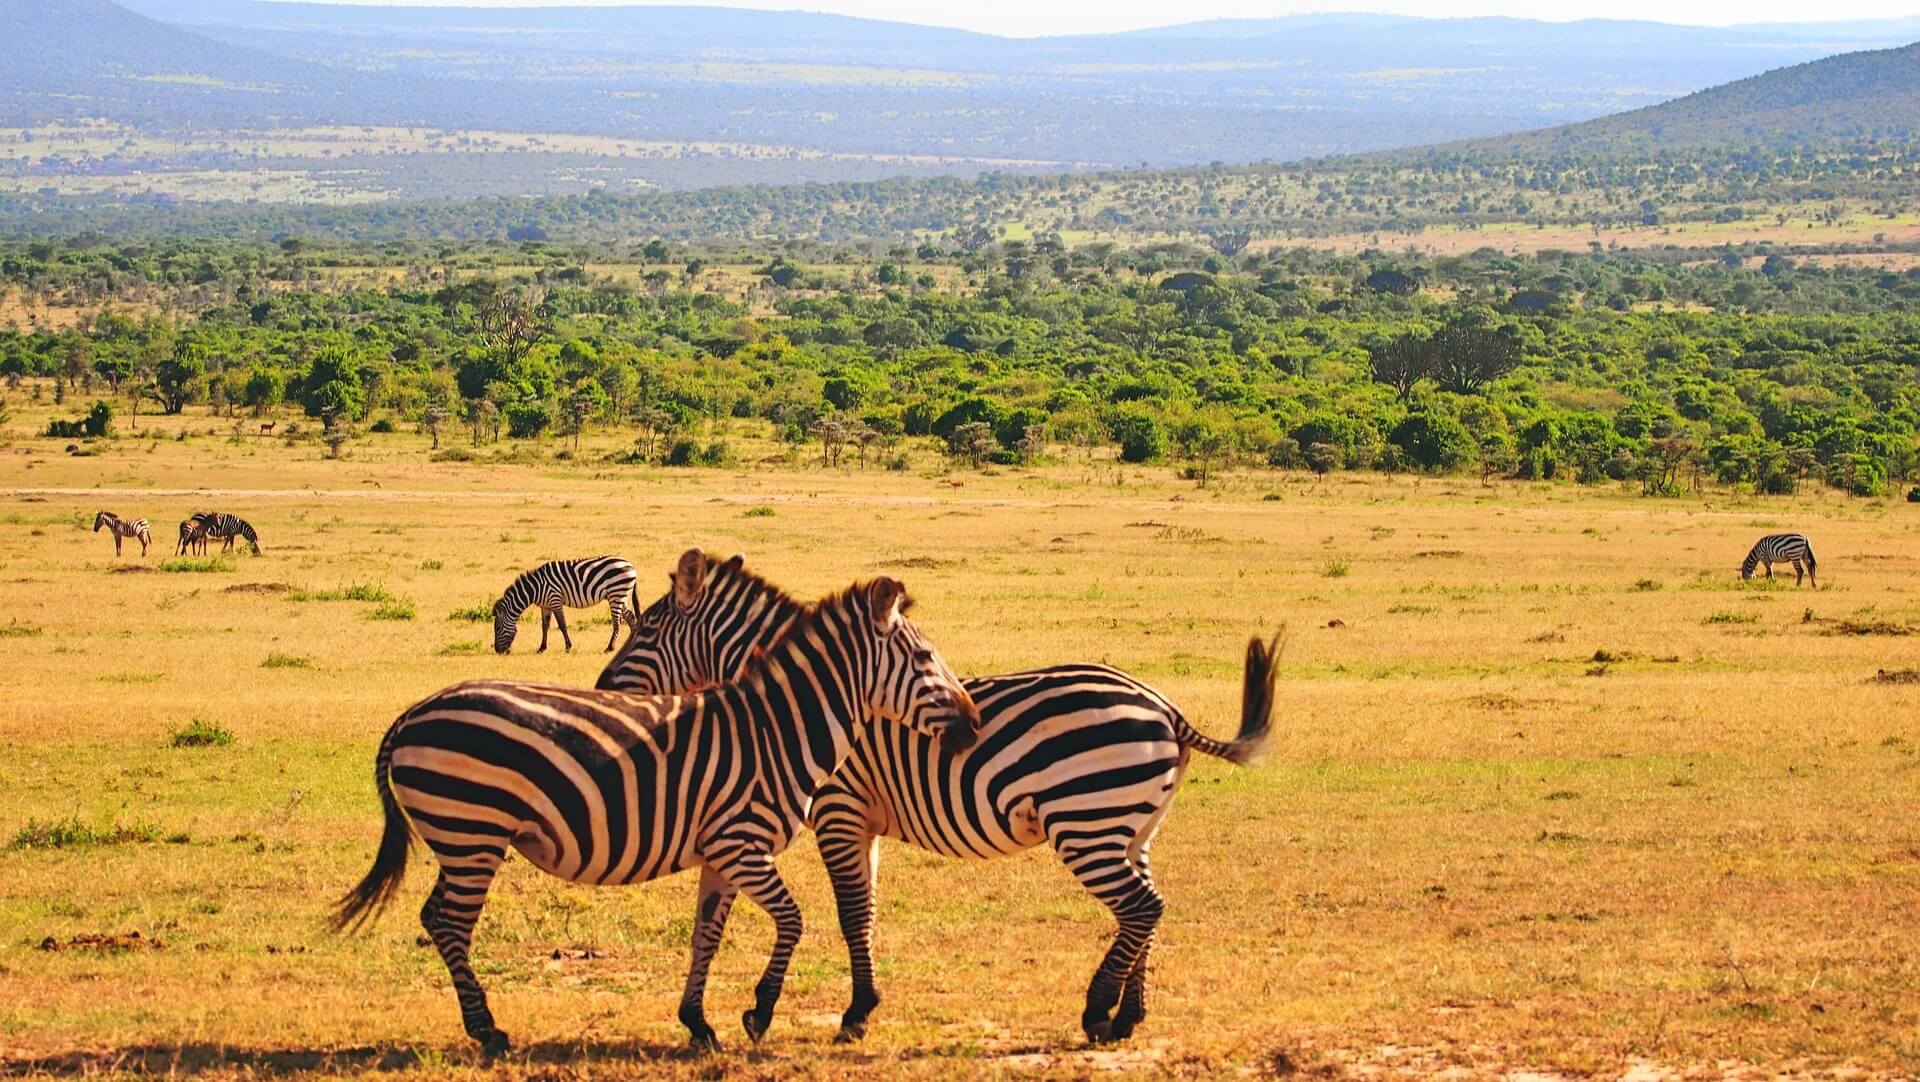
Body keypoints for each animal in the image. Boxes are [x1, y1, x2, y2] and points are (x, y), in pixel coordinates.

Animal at [333, 576, 982, 1054]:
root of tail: (412, 714)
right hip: (472, 835)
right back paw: (488, 1031)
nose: (974, 727)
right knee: (448, 923)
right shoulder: (743, 844)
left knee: (436, 917)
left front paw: (698, 1023)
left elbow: (706, 935)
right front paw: (759, 1011)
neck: (776, 731)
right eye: (925, 656)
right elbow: (794, 922)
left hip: (464, 839)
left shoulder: (721, 855)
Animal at [491, 556, 639, 654]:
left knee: (617, 622)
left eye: (497, 628)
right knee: (630, 617)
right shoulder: (545, 606)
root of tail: (631, 565)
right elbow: (545, 626)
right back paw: (631, 643)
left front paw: (568, 647)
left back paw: (610, 648)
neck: (535, 588)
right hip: (620, 595)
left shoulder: (555, 599)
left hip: (616, 593)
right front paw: (542, 648)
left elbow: (562, 625)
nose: (498, 651)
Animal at [597, 549, 1280, 1044]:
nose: (602, 685)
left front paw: (852, 1014)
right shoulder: (858, 821)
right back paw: (1128, 1017)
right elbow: (865, 911)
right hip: (1131, 828)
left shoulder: (840, 811)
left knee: (1140, 908)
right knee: (1144, 911)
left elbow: (851, 914)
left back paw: (1096, 1012)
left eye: (648, 627)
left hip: (1087, 823)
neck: (804, 703)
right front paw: (860, 1006)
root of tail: (1165, 708)